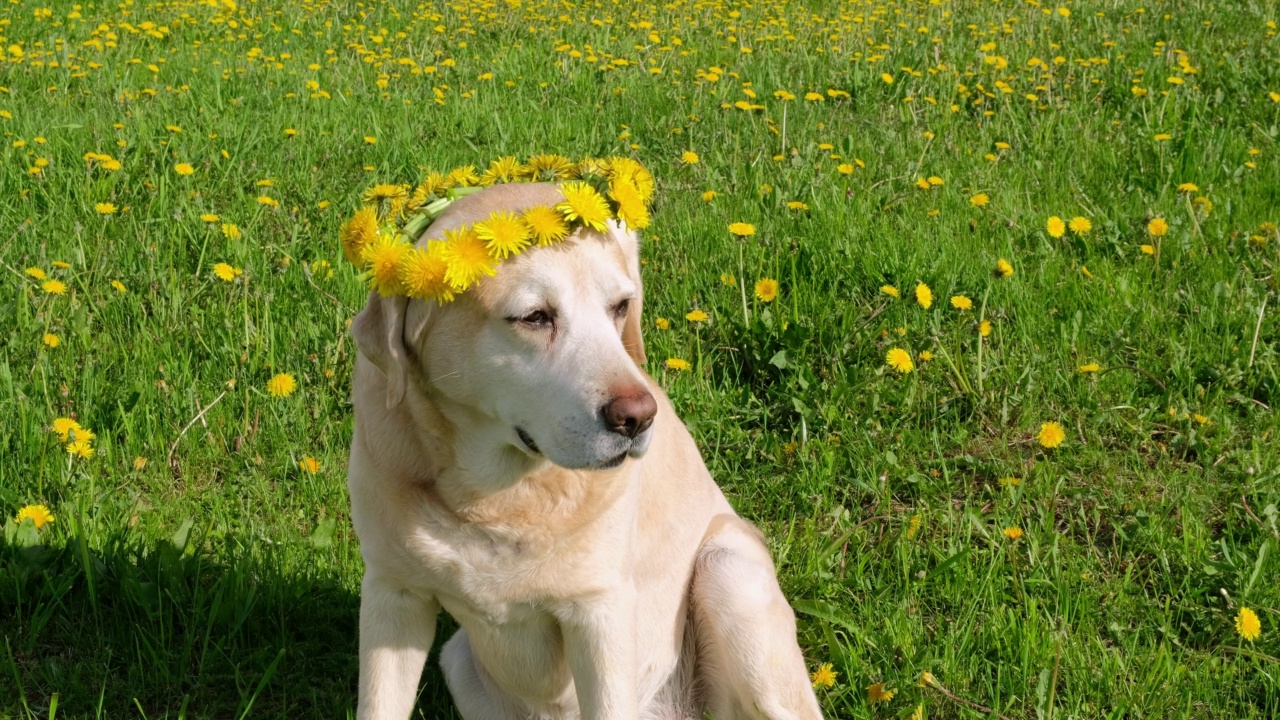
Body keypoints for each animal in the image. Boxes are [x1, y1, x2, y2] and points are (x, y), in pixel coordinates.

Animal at [345, 181, 819, 712]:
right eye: (534, 317)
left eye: (620, 307)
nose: (638, 417)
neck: (496, 500)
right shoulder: (393, 595)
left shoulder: (599, 615)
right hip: (459, 660)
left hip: (729, 567)